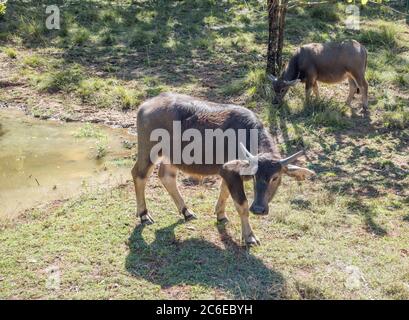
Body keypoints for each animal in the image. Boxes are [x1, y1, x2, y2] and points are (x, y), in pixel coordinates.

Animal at [132, 91, 314, 246]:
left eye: (275, 177)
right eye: (255, 176)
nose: (258, 209)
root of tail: (145, 105)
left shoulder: (227, 173)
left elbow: (224, 191)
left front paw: (221, 215)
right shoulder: (230, 172)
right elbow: (242, 204)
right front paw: (249, 236)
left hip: (172, 157)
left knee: (166, 176)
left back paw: (186, 211)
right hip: (148, 150)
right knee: (139, 175)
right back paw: (144, 215)